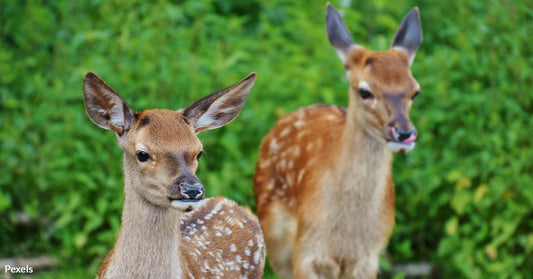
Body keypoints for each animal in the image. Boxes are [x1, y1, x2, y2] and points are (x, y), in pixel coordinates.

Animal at [251, 3, 422, 279]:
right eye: (365, 91)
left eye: (415, 91)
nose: (404, 132)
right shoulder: (306, 250)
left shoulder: (368, 258)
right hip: (275, 236)